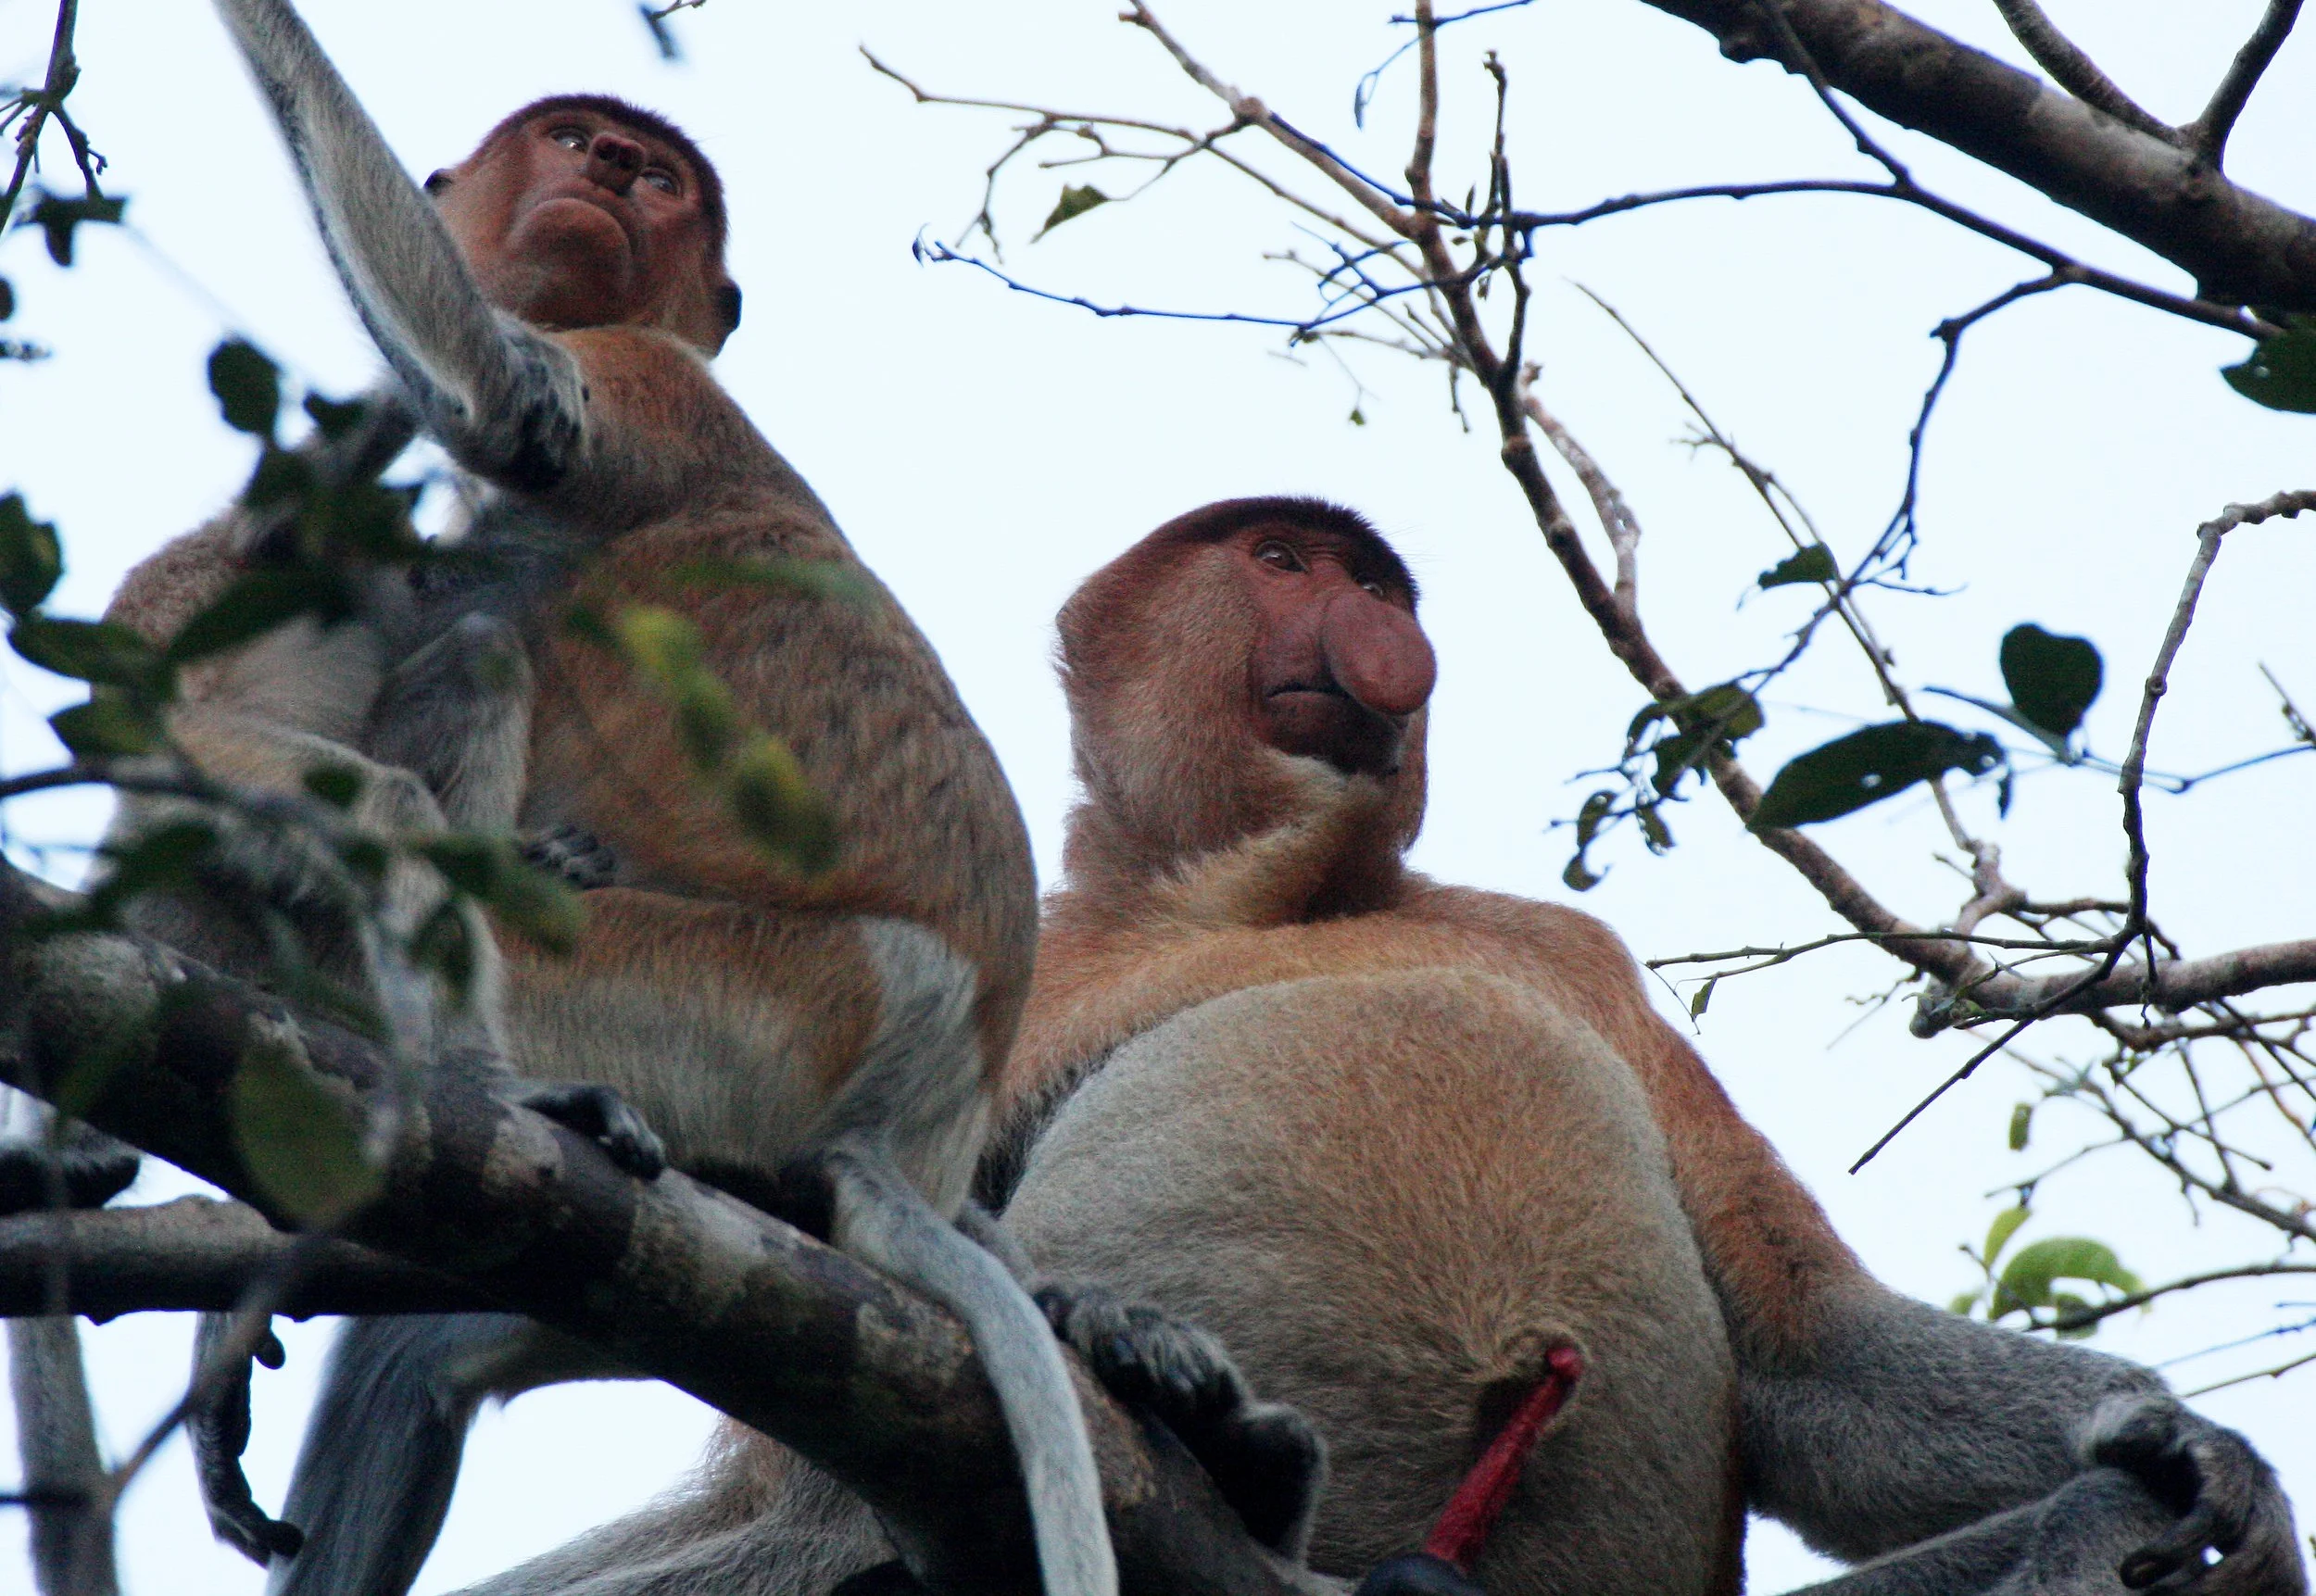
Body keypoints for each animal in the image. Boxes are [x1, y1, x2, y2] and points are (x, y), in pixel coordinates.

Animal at [45, 4, 1117, 1595]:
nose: (610, 167)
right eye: (574, 138)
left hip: (738, 998)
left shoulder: (649, 385)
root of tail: (925, 1100)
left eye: (658, 177)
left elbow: (510, 402)